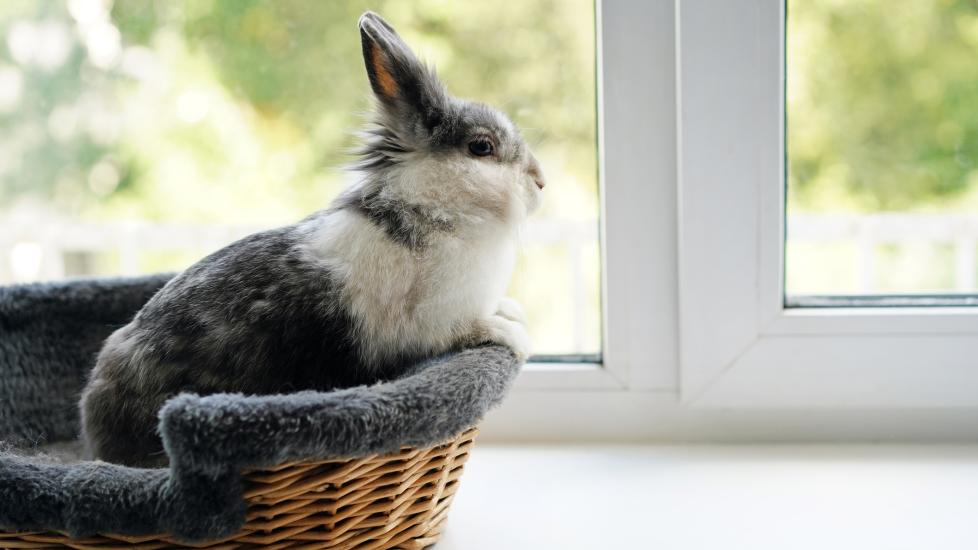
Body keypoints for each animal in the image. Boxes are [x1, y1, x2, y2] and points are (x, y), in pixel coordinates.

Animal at [78, 11, 545, 467]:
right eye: (481, 147)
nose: (541, 182)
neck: (435, 208)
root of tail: (94, 425)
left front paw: (514, 313)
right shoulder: (429, 325)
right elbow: (468, 329)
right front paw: (515, 336)